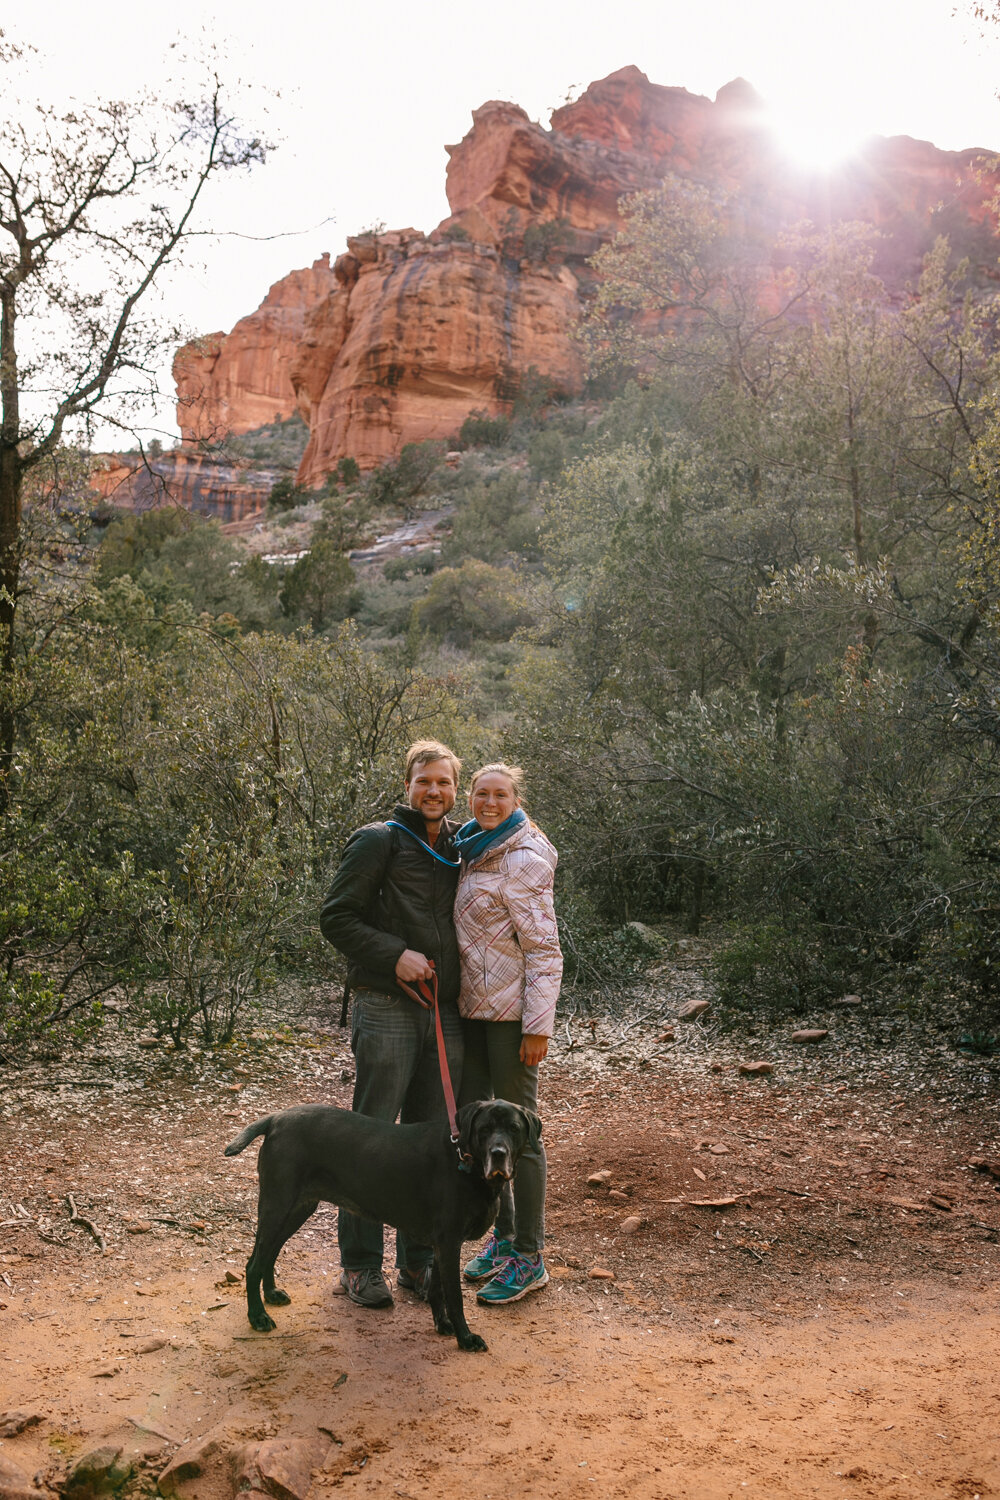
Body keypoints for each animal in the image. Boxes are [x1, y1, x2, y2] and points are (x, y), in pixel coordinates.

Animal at [226, 1098, 539, 1356]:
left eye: (513, 1128)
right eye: (485, 1129)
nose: (498, 1153)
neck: (465, 1162)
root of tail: (276, 1118)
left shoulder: (442, 1245)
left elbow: (438, 1289)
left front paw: (442, 1324)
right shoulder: (449, 1243)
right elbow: (455, 1297)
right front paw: (465, 1338)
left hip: (297, 1208)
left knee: (269, 1254)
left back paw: (271, 1295)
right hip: (278, 1206)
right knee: (253, 1263)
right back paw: (258, 1316)